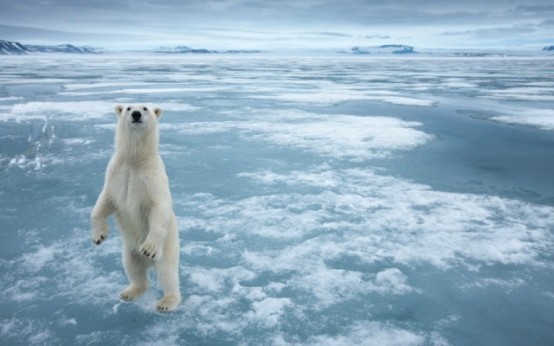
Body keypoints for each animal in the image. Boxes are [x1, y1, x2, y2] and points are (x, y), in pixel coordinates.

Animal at [90, 104, 180, 312]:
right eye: (128, 107)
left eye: (145, 108)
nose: (136, 114)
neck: (135, 159)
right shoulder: (116, 174)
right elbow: (104, 202)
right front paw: (98, 236)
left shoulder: (152, 178)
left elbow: (158, 208)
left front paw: (148, 248)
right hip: (129, 250)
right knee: (133, 267)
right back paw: (129, 291)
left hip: (168, 247)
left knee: (167, 272)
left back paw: (167, 301)